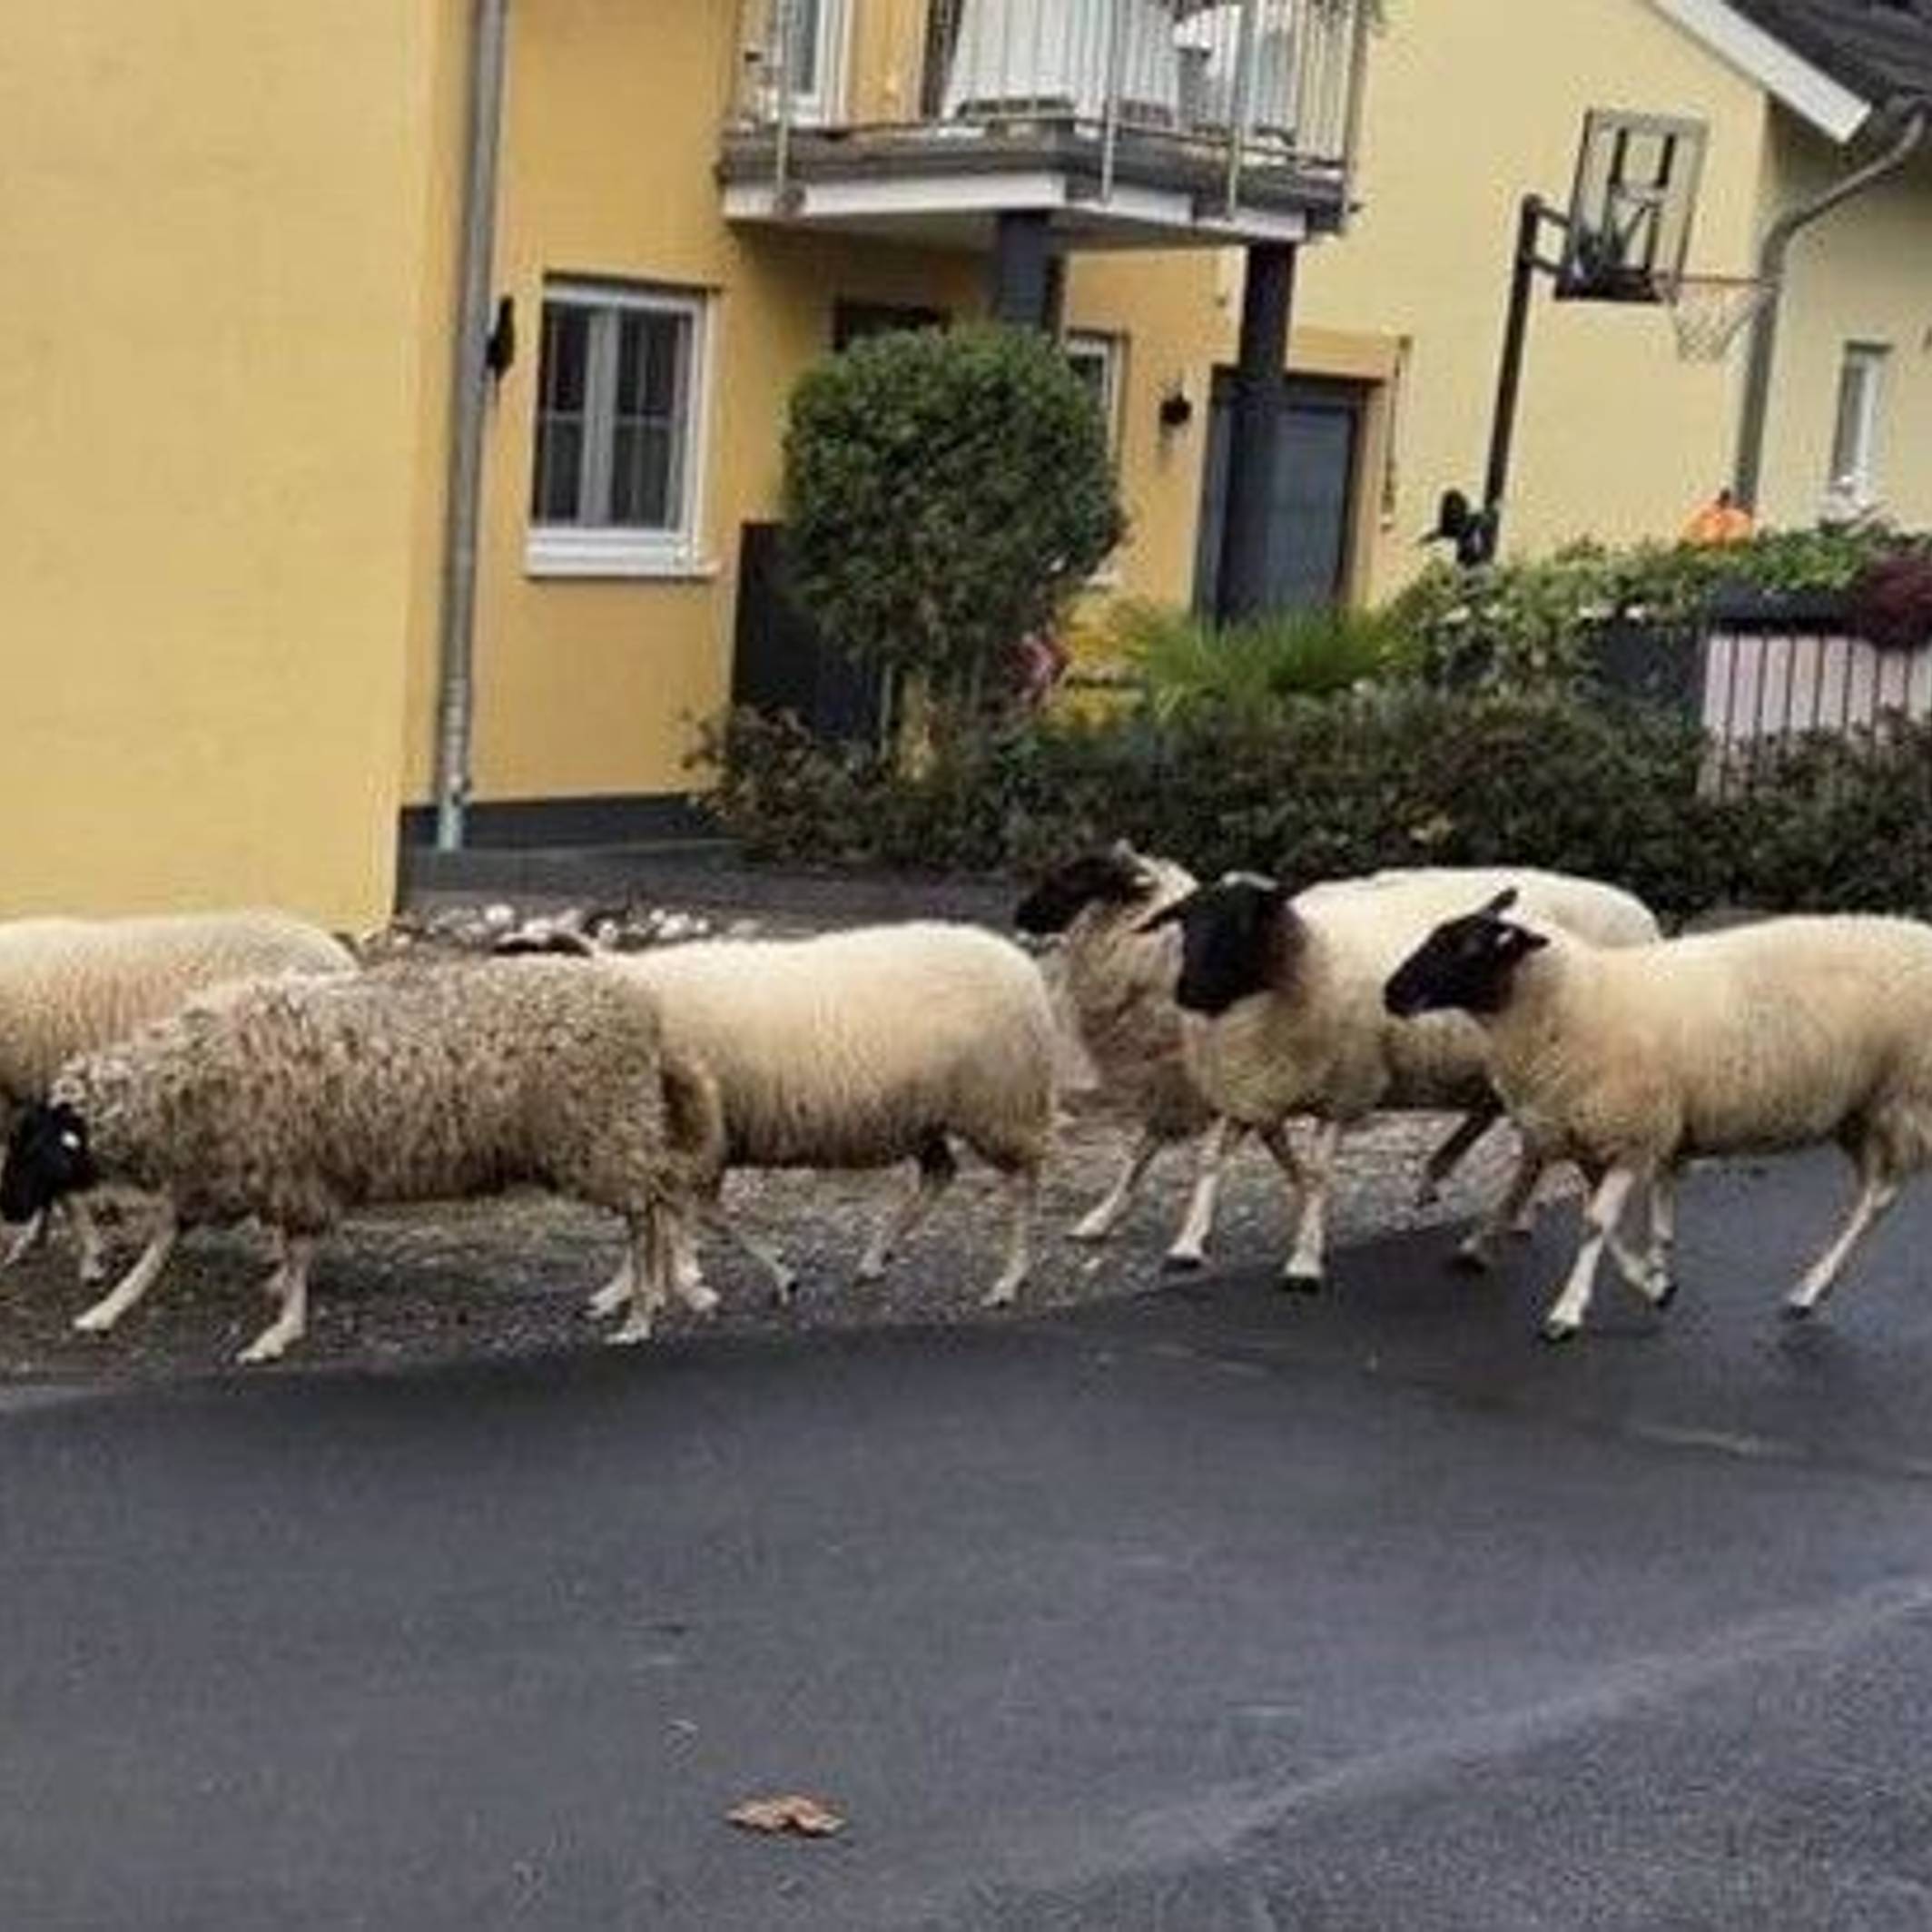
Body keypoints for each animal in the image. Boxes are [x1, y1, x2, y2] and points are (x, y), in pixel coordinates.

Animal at [0, 957, 721, 1362]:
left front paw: (278, 1333)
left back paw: (644, 1309)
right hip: (604, 1133)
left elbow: (294, 1253)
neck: (178, 1081)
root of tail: (648, 1014)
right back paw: (633, 1293)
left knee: (653, 1203)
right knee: (650, 1203)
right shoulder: (225, 1171)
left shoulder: (286, 1172)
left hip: (596, 1131)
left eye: (33, 1147)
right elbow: (163, 1243)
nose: (6, 1208)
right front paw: (108, 1310)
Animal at [607, 921, 1056, 1308]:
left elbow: (683, 1215)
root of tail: (1023, 967)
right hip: (923, 1119)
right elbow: (675, 1214)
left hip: (999, 1104)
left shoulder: (695, 1138)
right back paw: (876, 1256)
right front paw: (640, 1289)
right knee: (941, 1172)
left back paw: (1010, 1278)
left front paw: (654, 1288)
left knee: (1024, 1180)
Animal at [1142, 866, 1662, 1286]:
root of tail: (1640, 911)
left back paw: (1484, 1231)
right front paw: (1188, 1244)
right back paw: (1479, 1198)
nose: (1187, 991)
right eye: (1185, 922)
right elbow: (1213, 1158)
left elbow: (1317, 1173)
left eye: (1242, 923)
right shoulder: (1253, 1086)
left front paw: (1305, 1258)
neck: (1307, 956)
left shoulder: (1345, 1087)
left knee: (1529, 1150)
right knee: (1510, 1131)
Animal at [1384, 893, 1932, 1341]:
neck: (1576, 1000)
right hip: (1859, 1110)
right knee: (1871, 1191)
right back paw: (1810, 1289)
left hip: (1903, 1098)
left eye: (1467, 947)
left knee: (1879, 1196)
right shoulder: (1605, 1136)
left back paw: (1810, 1288)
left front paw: (1567, 1312)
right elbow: (1619, 1226)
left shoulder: (1633, 1133)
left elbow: (1596, 1223)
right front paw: (1654, 1285)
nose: (1391, 993)